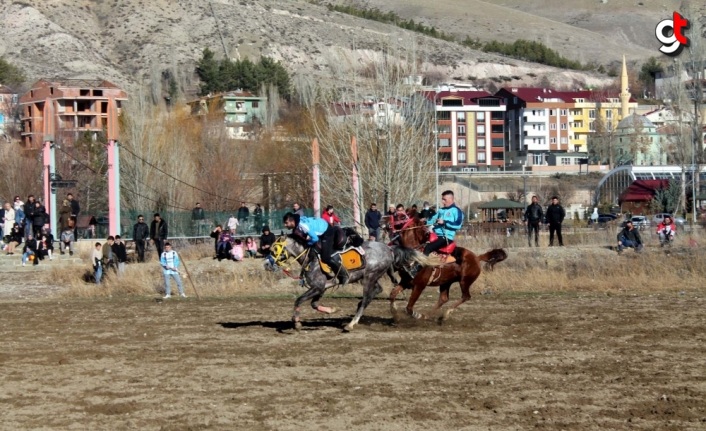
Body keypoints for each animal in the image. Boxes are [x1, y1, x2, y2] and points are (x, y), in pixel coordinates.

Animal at [276, 236, 428, 330]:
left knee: (367, 297)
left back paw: (351, 323)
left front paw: (296, 322)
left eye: (276, 248)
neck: (311, 258)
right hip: (370, 277)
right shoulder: (322, 288)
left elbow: (299, 300)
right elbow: (314, 304)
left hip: (369, 277)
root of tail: (389, 249)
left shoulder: (318, 287)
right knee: (376, 291)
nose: (272, 262)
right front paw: (332, 310)